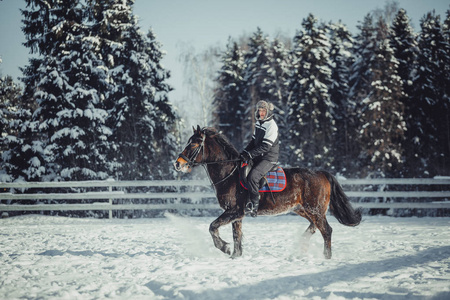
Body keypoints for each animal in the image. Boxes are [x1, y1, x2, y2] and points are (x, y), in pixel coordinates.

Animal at [173, 125, 362, 258]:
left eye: (195, 143)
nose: (178, 164)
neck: (230, 174)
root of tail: (322, 173)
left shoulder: (234, 211)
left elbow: (213, 227)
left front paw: (224, 248)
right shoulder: (237, 215)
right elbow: (236, 237)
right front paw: (235, 256)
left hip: (314, 210)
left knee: (326, 231)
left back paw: (325, 258)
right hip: (303, 210)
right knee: (315, 228)